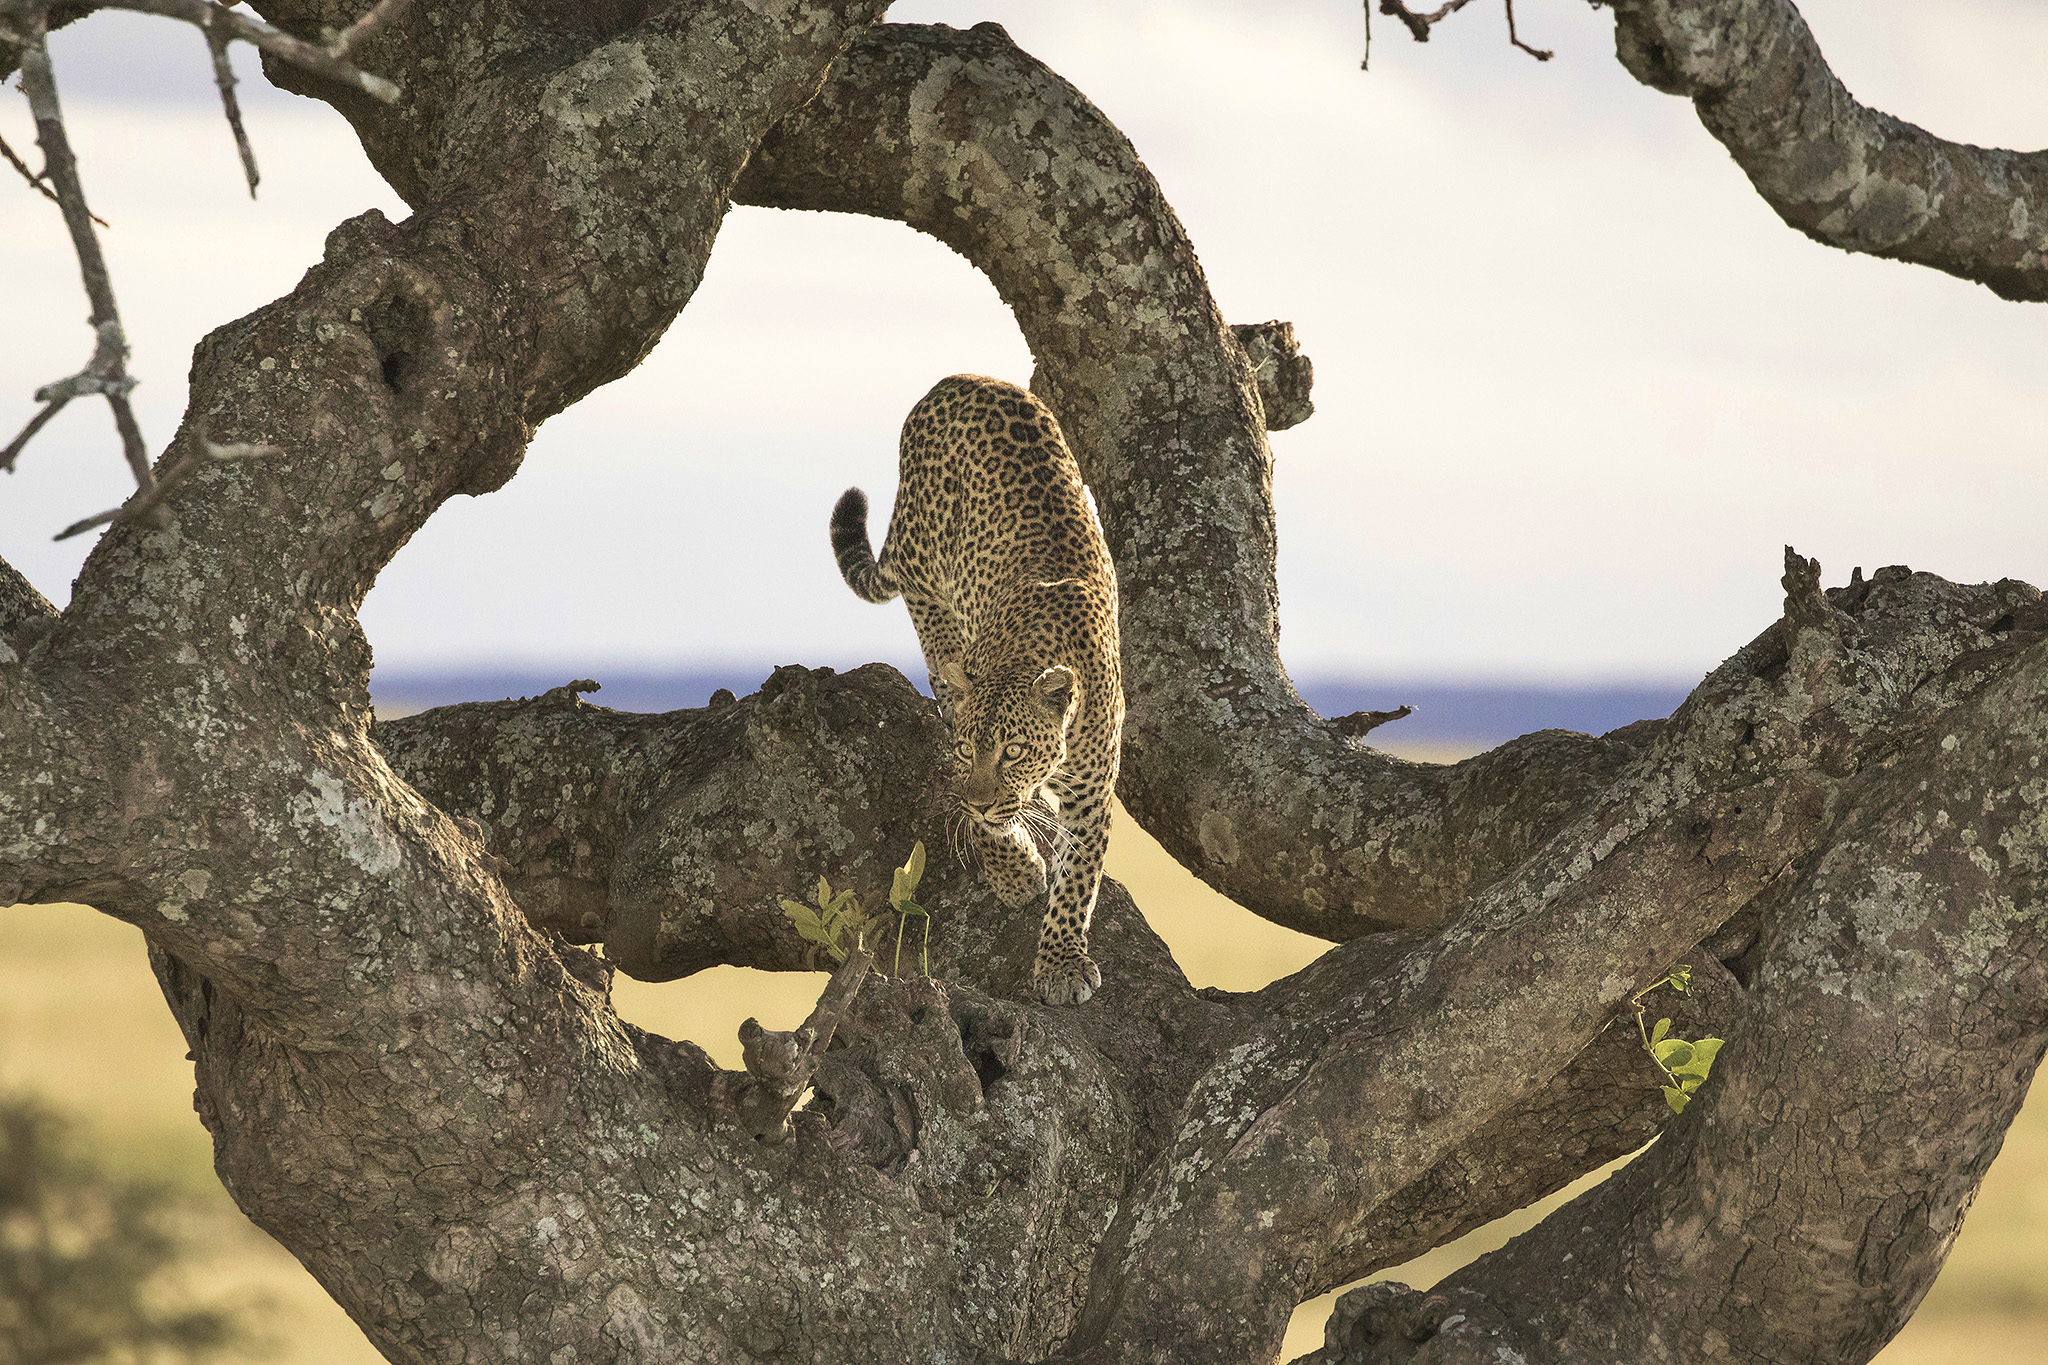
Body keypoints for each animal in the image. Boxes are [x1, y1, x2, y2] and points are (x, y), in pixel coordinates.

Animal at [829, 374, 1124, 1006]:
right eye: (969, 750)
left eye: (1014, 750)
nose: (986, 799)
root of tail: (956, 380)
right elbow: (986, 825)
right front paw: (1015, 873)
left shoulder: (1093, 789)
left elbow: (1079, 878)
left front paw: (1062, 962)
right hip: (924, 574)